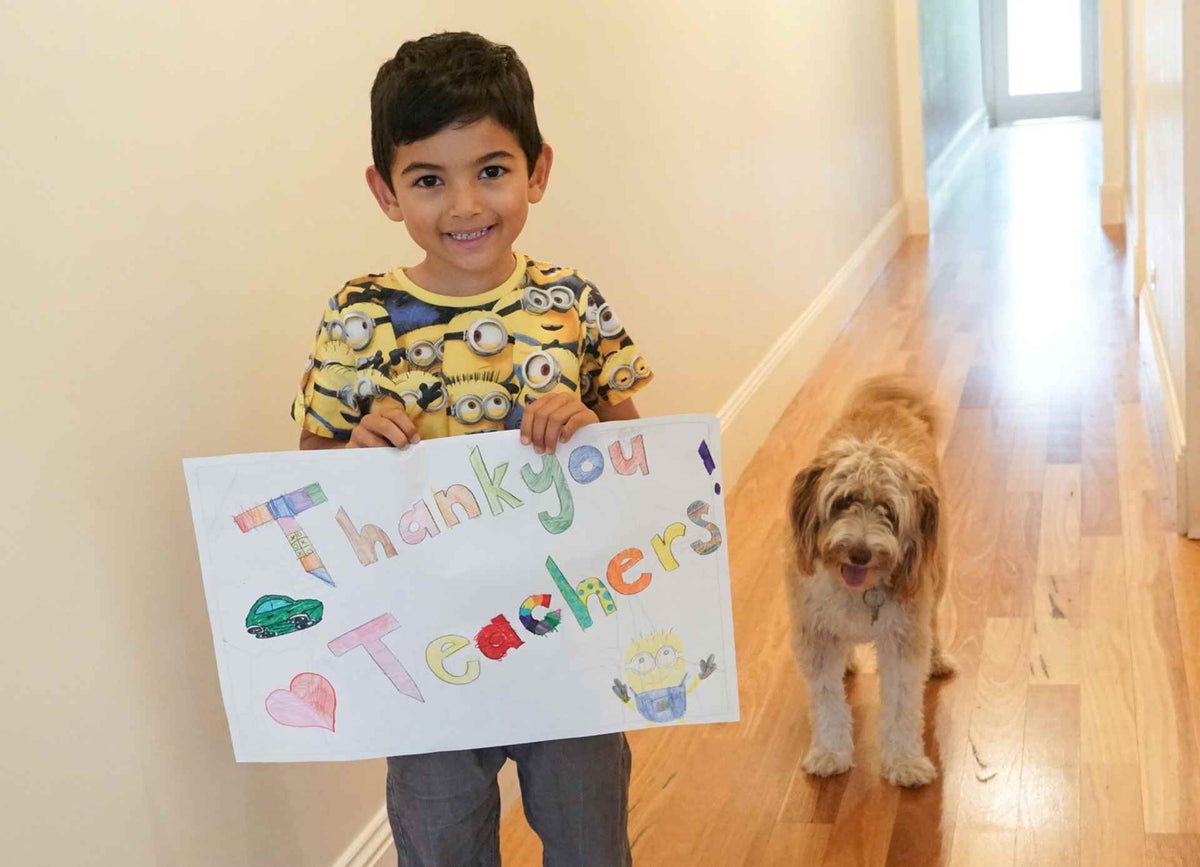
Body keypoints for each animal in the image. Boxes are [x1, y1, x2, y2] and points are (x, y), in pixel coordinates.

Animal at [787, 372, 955, 782]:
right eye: (843, 502)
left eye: (888, 512)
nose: (860, 552)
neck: (858, 592)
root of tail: (889, 402)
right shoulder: (814, 634)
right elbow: (828, 702)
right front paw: (830, 753)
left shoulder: (903, 637)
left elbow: (901, 705)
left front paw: (905, 761)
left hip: (938, 573)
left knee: (933, 622)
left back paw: (937, 658)